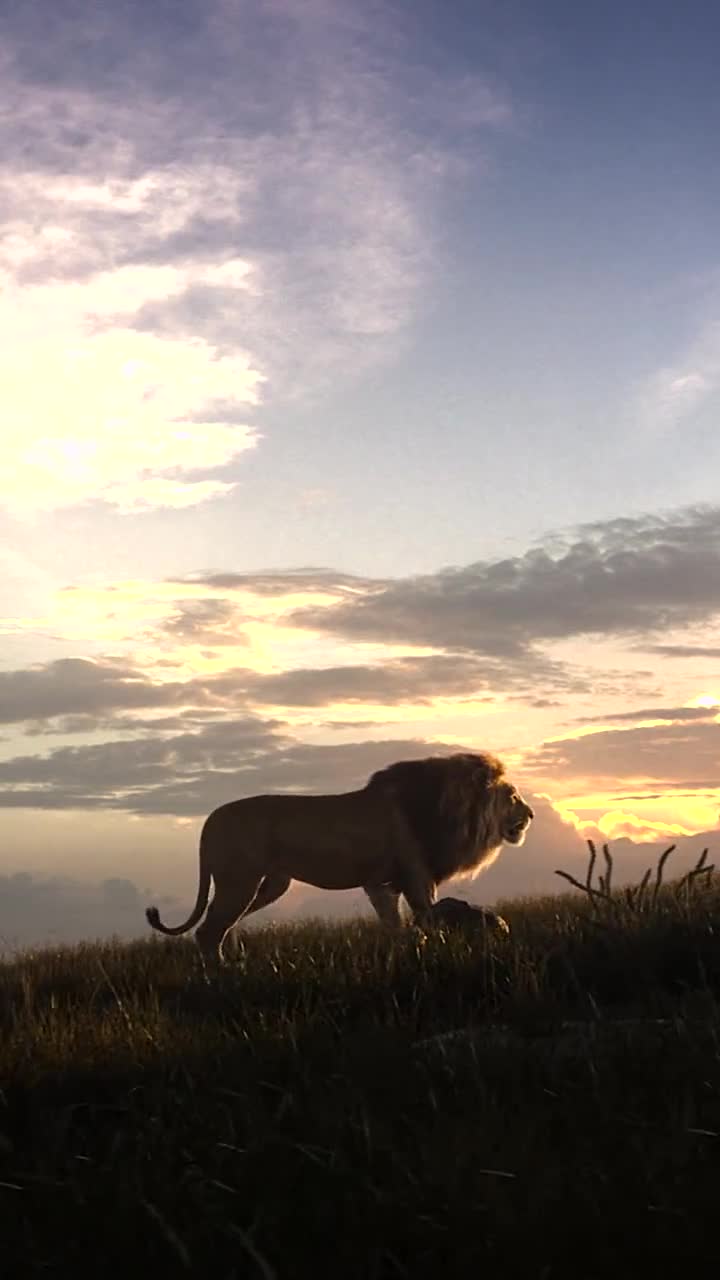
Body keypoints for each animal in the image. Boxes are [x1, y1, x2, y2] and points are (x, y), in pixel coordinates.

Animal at [144, 747, 532, 962]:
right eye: (512, 795)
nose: (531, 814)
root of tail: (208, 821)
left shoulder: (383, 884)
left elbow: (397, 926)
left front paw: (408, 954)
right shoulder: (416, 879)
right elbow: (426, 921)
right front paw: (432, 952)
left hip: (270, 884)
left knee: (226, 924)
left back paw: (236, 962)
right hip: (240, 881)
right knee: (207, 932)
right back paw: (223, 977)